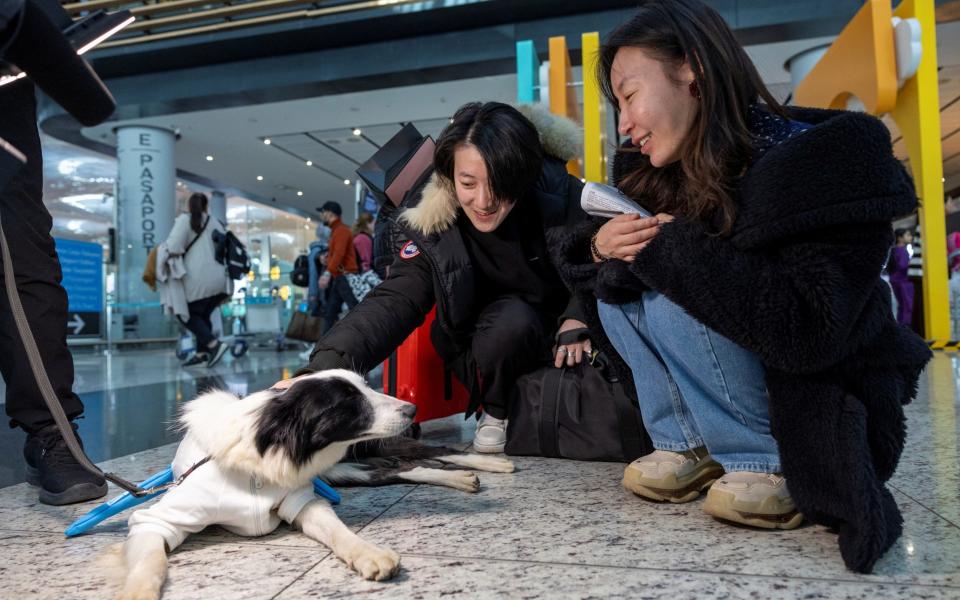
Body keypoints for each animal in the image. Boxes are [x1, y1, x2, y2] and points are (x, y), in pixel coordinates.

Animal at [108, 368, 512, 596]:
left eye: (367, 387)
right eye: (349, 401)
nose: (412, 409)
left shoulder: (302, 501)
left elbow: (339, 533)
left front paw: (368, 553)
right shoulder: (156, 520)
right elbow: (150, 563)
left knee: (429, 451)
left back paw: (483, 462)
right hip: (347, 472)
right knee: (405, 467)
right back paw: (460, 477)